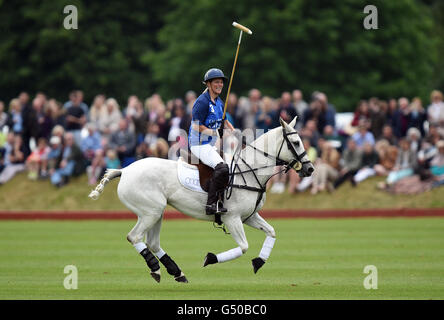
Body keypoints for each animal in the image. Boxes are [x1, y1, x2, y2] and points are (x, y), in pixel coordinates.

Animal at [88, 116, 314, 282]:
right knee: (134, 237)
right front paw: (210, 258)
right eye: (295, 142)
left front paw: (258, 262)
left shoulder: (249, 216)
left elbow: (272, 232)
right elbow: (243, 247)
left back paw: (176, 272)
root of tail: (125, 170)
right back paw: (156, 268)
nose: (310, 169)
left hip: (156, 211)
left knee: (152, 242)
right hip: (149, 211)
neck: (250, 172)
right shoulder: (232, 218)